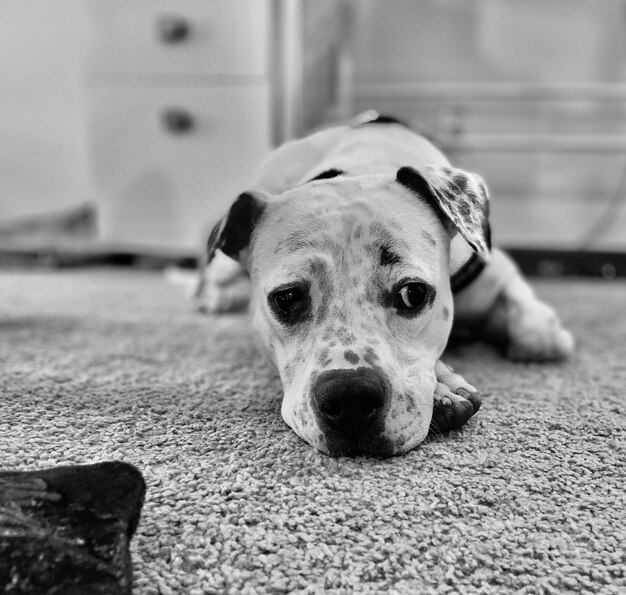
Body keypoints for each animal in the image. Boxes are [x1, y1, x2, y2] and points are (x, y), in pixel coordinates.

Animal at [194, 112, 572, 456]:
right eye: (286, 298)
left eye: (412, 293)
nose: (350, 398)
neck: (365, 164)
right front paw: (444, 387)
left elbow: (539, 335)